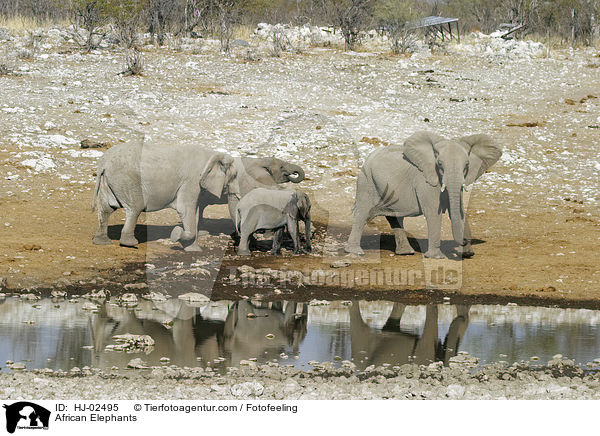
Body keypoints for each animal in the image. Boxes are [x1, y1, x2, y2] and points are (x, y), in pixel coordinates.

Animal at [91, 141, 237, 250]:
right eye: (234, 176)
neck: (212, 154)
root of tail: (103, 161)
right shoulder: (191, 181)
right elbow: (185, 209)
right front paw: (176, 234)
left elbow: (194, 212)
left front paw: (193, 250)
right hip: (126, 180)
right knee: (135, 208)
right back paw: (130, 243)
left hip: (109, 181)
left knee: (106, 209)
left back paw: (102, 242)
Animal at [344, 129, 500, 258]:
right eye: (440, 165)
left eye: (467, 166)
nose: (465, 241)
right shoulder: (425, 181)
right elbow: (433, 213)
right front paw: (436, 257)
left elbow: (459, 210)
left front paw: (468, 254)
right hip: (366, 181)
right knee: (362, 212)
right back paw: (356, 252)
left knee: (394, 217)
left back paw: (406, 252)